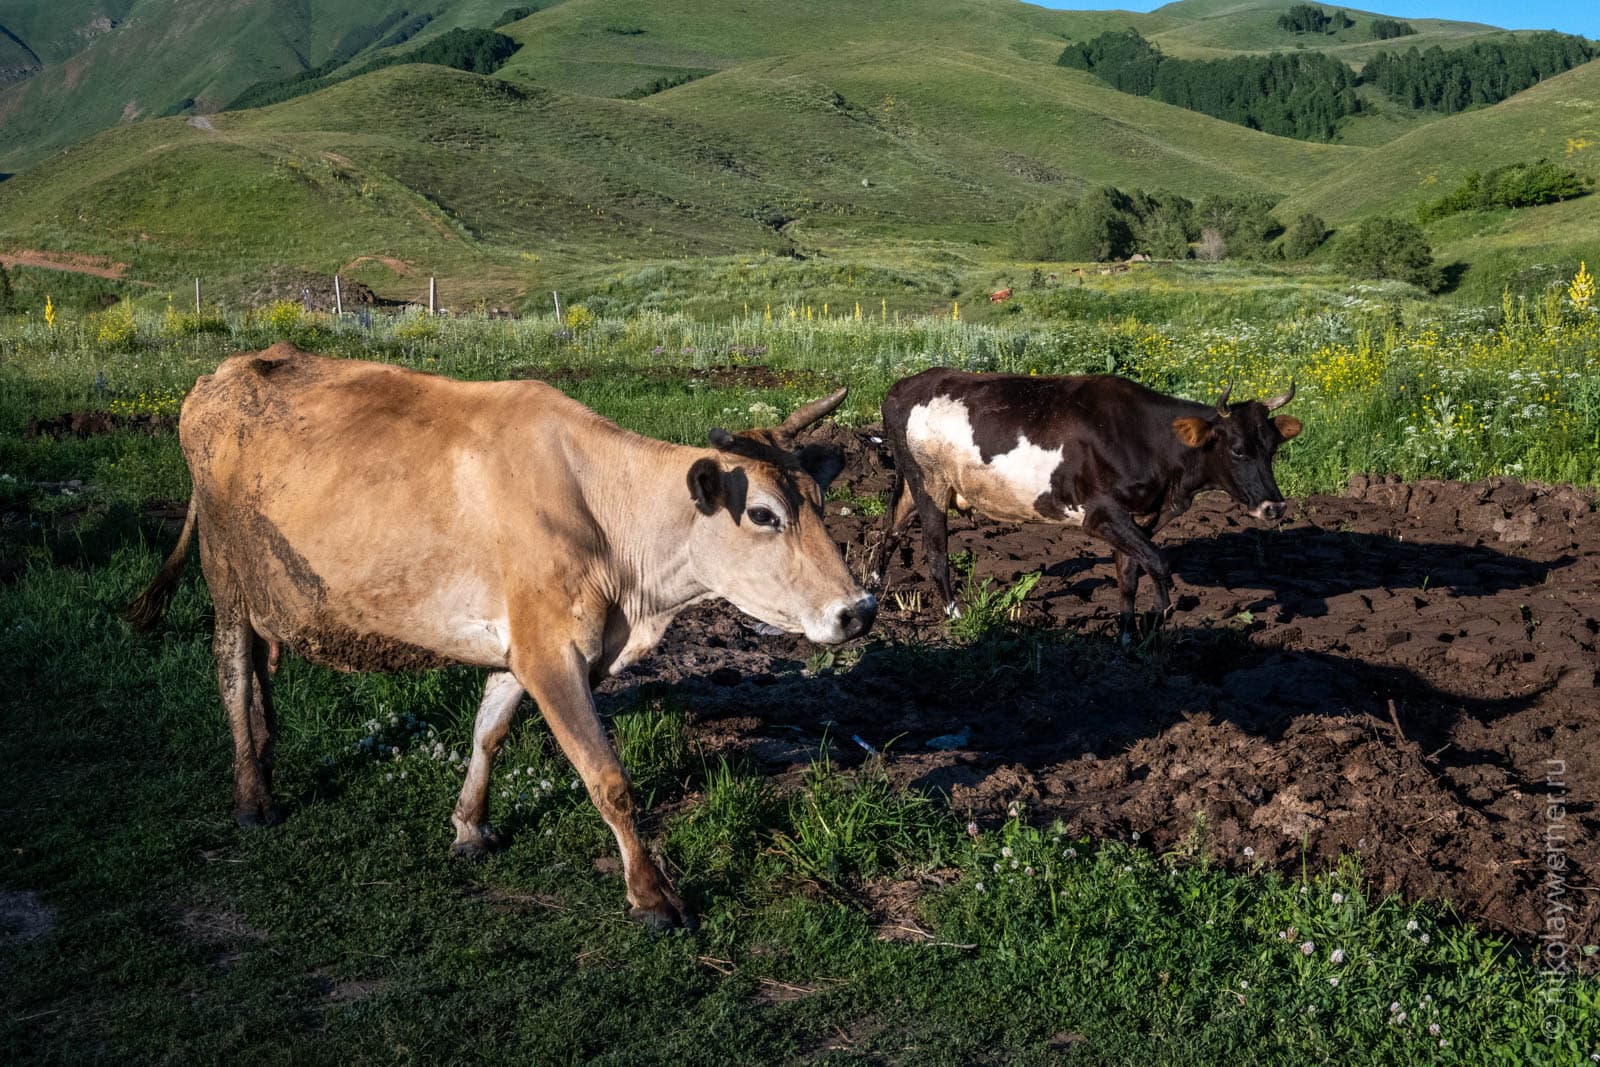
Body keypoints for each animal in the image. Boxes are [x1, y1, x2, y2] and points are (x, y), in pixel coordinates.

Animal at [124, 342, 876, 927]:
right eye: (763, 513)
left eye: (821, 502)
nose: (860, 608)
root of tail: (225, 372)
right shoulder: (551, 649)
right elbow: (608, 778)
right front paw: (653, 895)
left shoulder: (522, 643)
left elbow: (489, 730)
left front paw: (470, 826)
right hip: (225, 574)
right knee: (231, 669)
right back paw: (253, 794)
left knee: (258, 665)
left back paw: (267, 752)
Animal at [876, 369, 1299, 633]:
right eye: (1238, 450)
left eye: (1272, 448)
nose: (1275, 507)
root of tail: (903, 387)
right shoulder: (1099, 515)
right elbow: (1159, 562)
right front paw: (1159, 615)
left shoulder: (1139, 516)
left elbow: (1130, 574)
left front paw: (1128, 637)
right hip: (931, 483)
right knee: (935, 556)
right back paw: (956, 615)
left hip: (913, 484)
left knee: (889, 531)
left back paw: (874, 594)